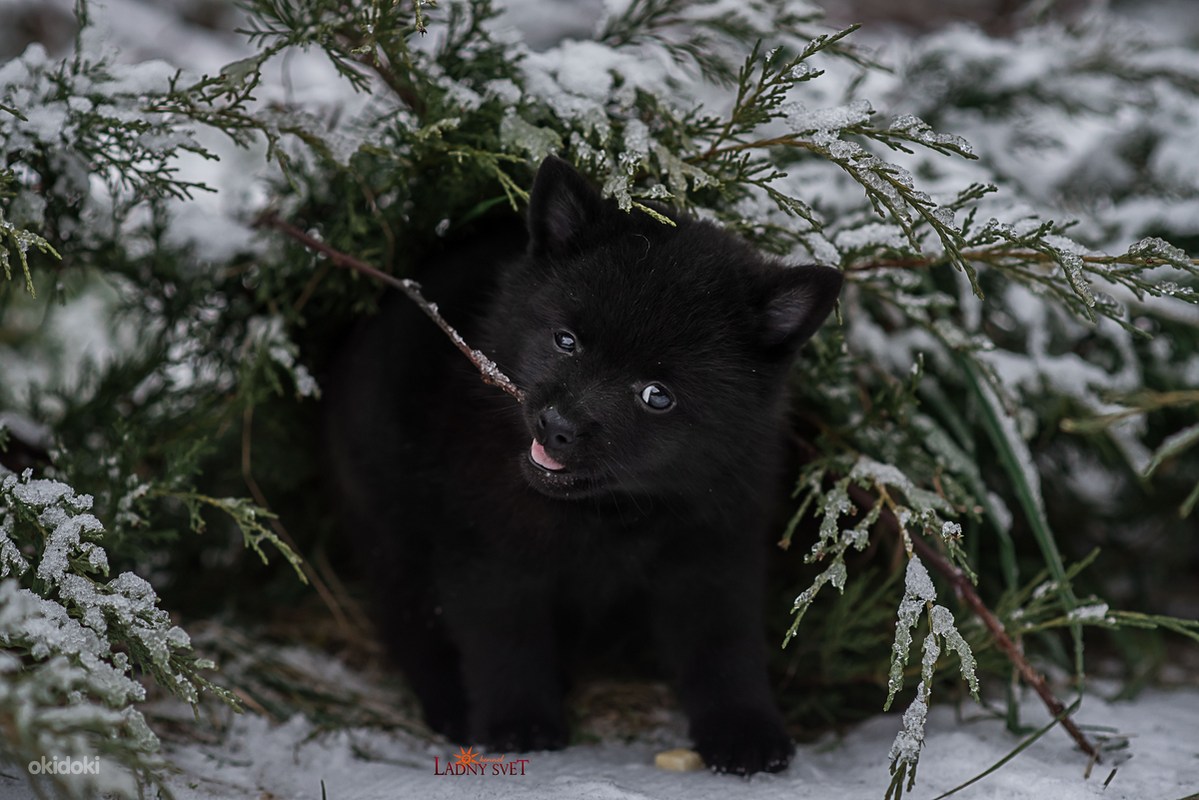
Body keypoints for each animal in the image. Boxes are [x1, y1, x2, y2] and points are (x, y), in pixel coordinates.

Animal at [323, 155, 839, 777]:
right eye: (566, 341)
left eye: (657, 395)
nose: (557, 424)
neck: (609, 513)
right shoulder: (487, 548)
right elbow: (504, 638)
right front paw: (518, 724)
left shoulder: (715, 547)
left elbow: (724, 645)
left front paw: (744, 732)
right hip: (386, 512)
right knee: (410, 620)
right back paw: (449, 705)